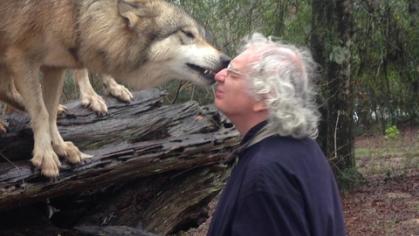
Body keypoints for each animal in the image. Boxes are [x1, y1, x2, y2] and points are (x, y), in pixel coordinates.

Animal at [0, 0, 230, 177]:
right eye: (189, 34)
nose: (227, 60)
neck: (77, 14)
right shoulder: (22, 58)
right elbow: (40, 112)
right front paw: (46, 155)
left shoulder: (54, 66)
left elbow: (49, 113)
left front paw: (61, 147)